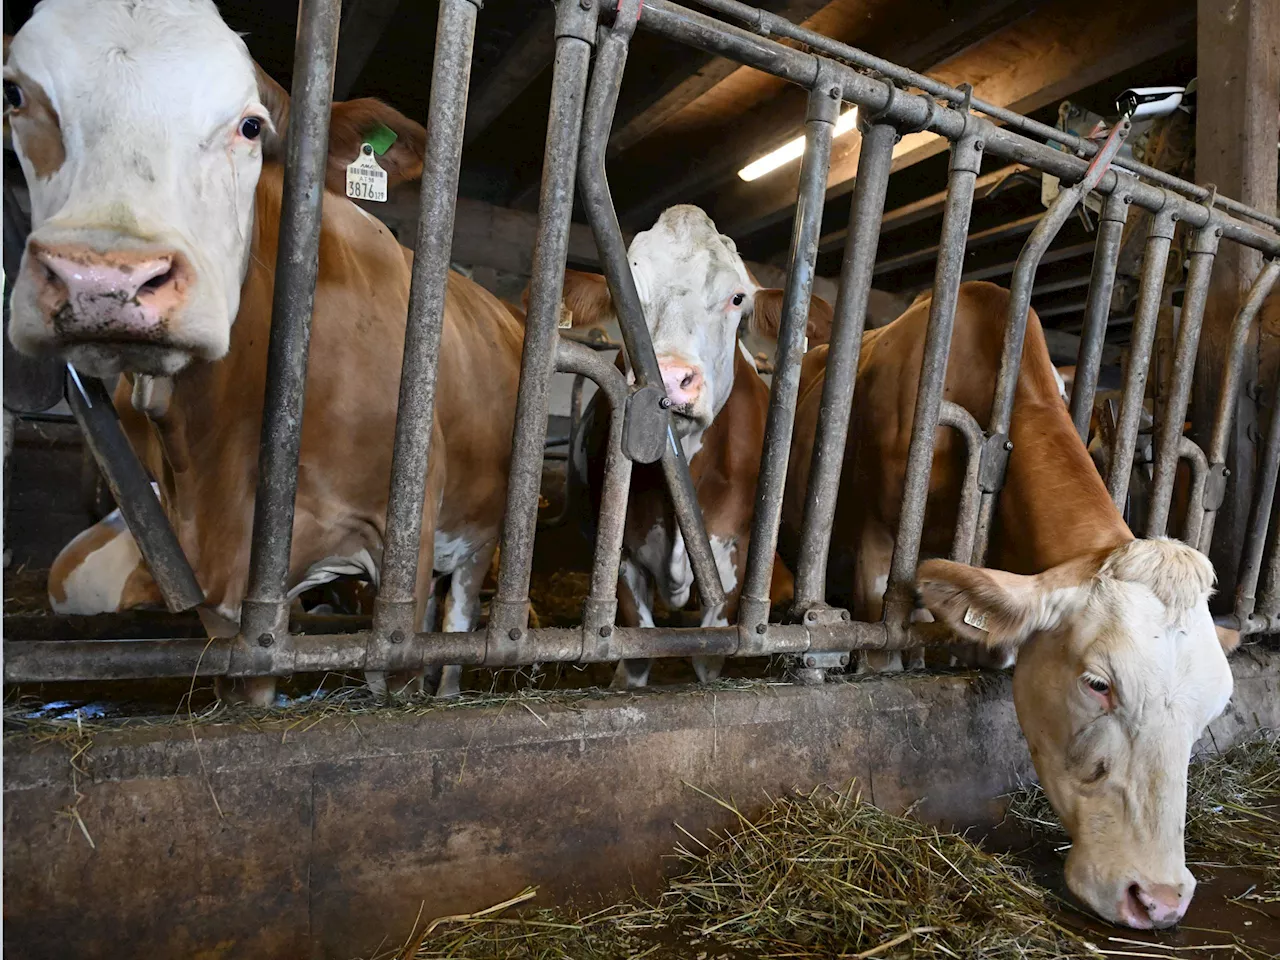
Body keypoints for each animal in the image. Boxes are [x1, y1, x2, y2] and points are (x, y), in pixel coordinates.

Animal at [7, 0, 522, 706]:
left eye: (251, 125)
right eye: (14, 94)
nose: (104, 277)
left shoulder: (404, 552)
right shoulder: (231, 607)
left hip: (478, 534)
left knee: (459, 623)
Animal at [563, 208, 829, 691]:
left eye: (737, 297)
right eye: (626, 292)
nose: (669, 379)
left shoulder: (735, 556)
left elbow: (708, 658)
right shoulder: (624, 557)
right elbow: (636, 655)